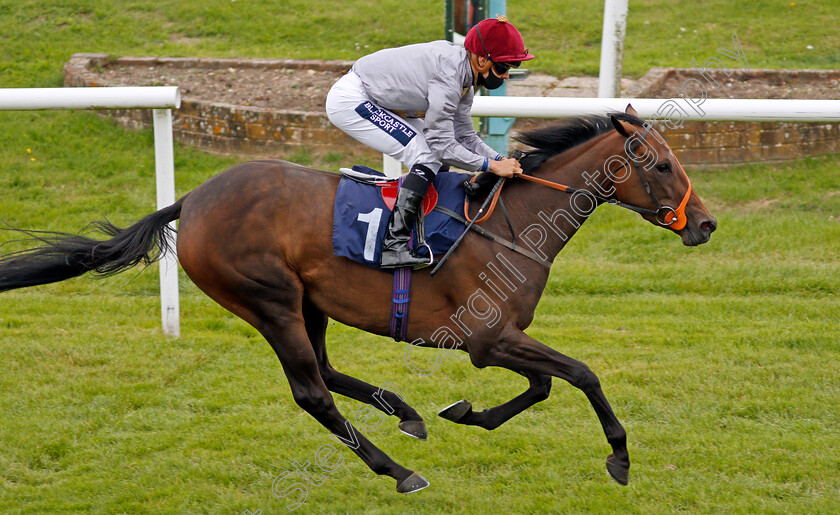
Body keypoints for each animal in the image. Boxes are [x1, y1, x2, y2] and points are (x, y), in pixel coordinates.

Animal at [0, 106, 716, 496]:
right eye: (660, 165)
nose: (705, 224)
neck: (512, 223)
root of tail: (193, 200)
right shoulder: (487, 339)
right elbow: (580, 374)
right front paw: (620, 457)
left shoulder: (496, 342)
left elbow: (542, 385)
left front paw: (463, 412)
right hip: (269, 300)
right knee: (311, 391)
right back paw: (396, 469)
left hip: (308, 301)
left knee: (325, 370)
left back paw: (407, 414)